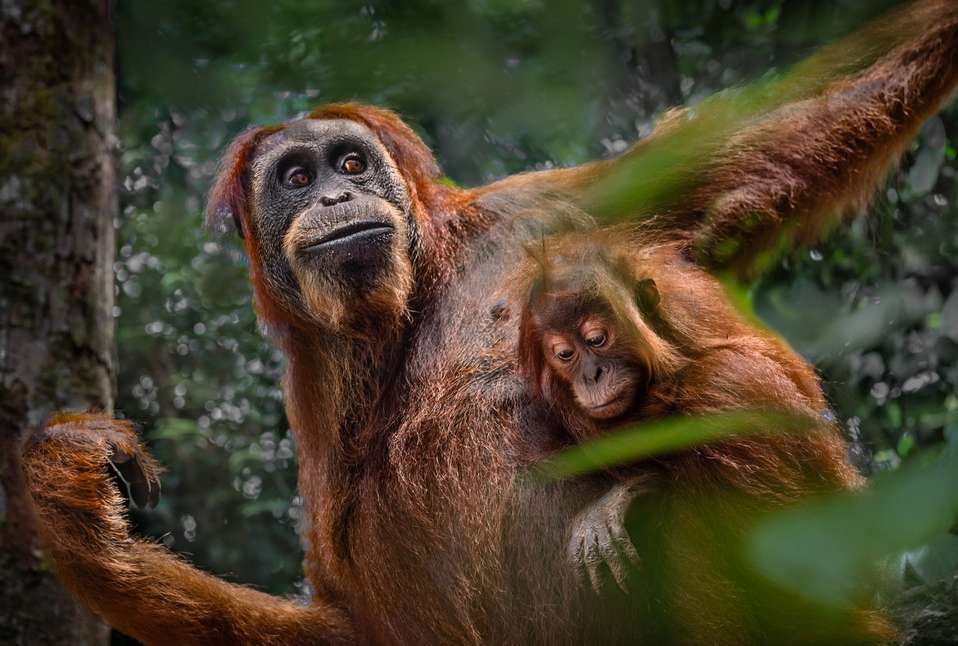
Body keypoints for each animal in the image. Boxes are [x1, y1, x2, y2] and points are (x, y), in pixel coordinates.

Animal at [21, 2, 958, 644]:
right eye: (294, 178)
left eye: (351, 163)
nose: (334, 199)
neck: (420, 291)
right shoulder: (313, 397)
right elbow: (355, 614)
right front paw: (74, 506)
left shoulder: (545, 205)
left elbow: (768, 147)